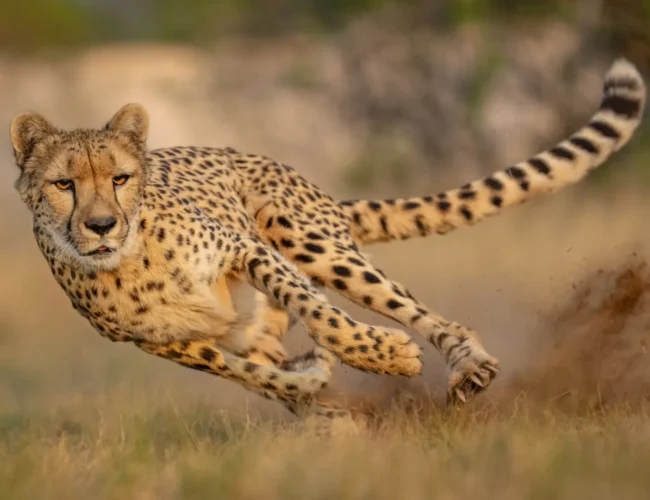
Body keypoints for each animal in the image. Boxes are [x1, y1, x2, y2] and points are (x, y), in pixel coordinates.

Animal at [9, 58, 645, 434]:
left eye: (119, 178)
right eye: (64, 184)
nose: (100, 225)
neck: (130, 260)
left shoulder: (248, 251)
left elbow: (324, 316)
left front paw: (383, 355)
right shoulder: (169, 344)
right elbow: (256, 375)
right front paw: (317, 394)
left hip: (307, 237)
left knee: (415, 312)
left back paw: (465, 364)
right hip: (255, 315)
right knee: (267, 355)